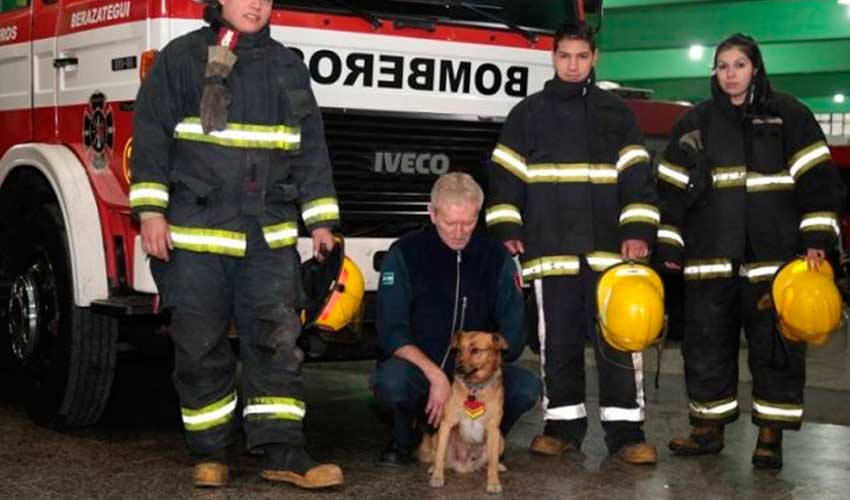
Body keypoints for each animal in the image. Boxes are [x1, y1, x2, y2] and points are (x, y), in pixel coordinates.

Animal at [422, 330, 504, 494]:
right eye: (459, 350)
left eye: (475, 350)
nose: (457, 368)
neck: (474, 389)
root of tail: (464, 467)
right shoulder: (446, 424)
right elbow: (439, 456)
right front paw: (437, 477)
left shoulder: (494, 430)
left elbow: (493, 462)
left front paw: (493, 482)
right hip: (436, 436)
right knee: (438, 457)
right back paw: (433, 467)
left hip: (501, 440)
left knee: (489, 462)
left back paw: (497, 467)